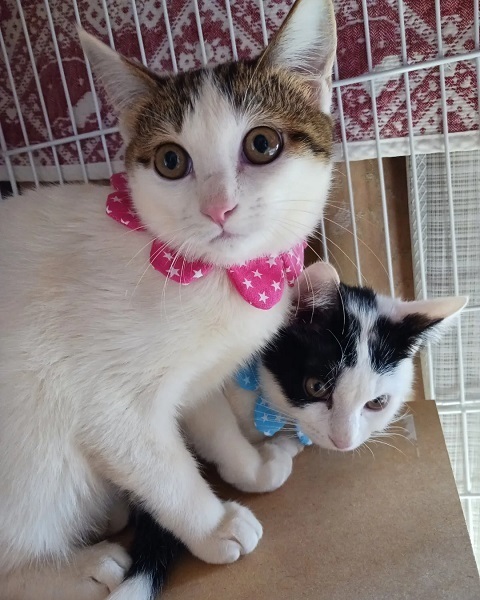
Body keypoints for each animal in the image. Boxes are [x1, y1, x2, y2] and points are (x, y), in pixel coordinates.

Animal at [0, 0, 337, 599]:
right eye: (171, 162)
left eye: (263, 144)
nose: (218, 208)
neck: (217, 281)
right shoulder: (108, 404)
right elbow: (164, 468)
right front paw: (214, 526)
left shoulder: (197, 379)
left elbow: (213, 424)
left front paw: (252, 467)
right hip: (34, 456)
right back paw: (81, 567)